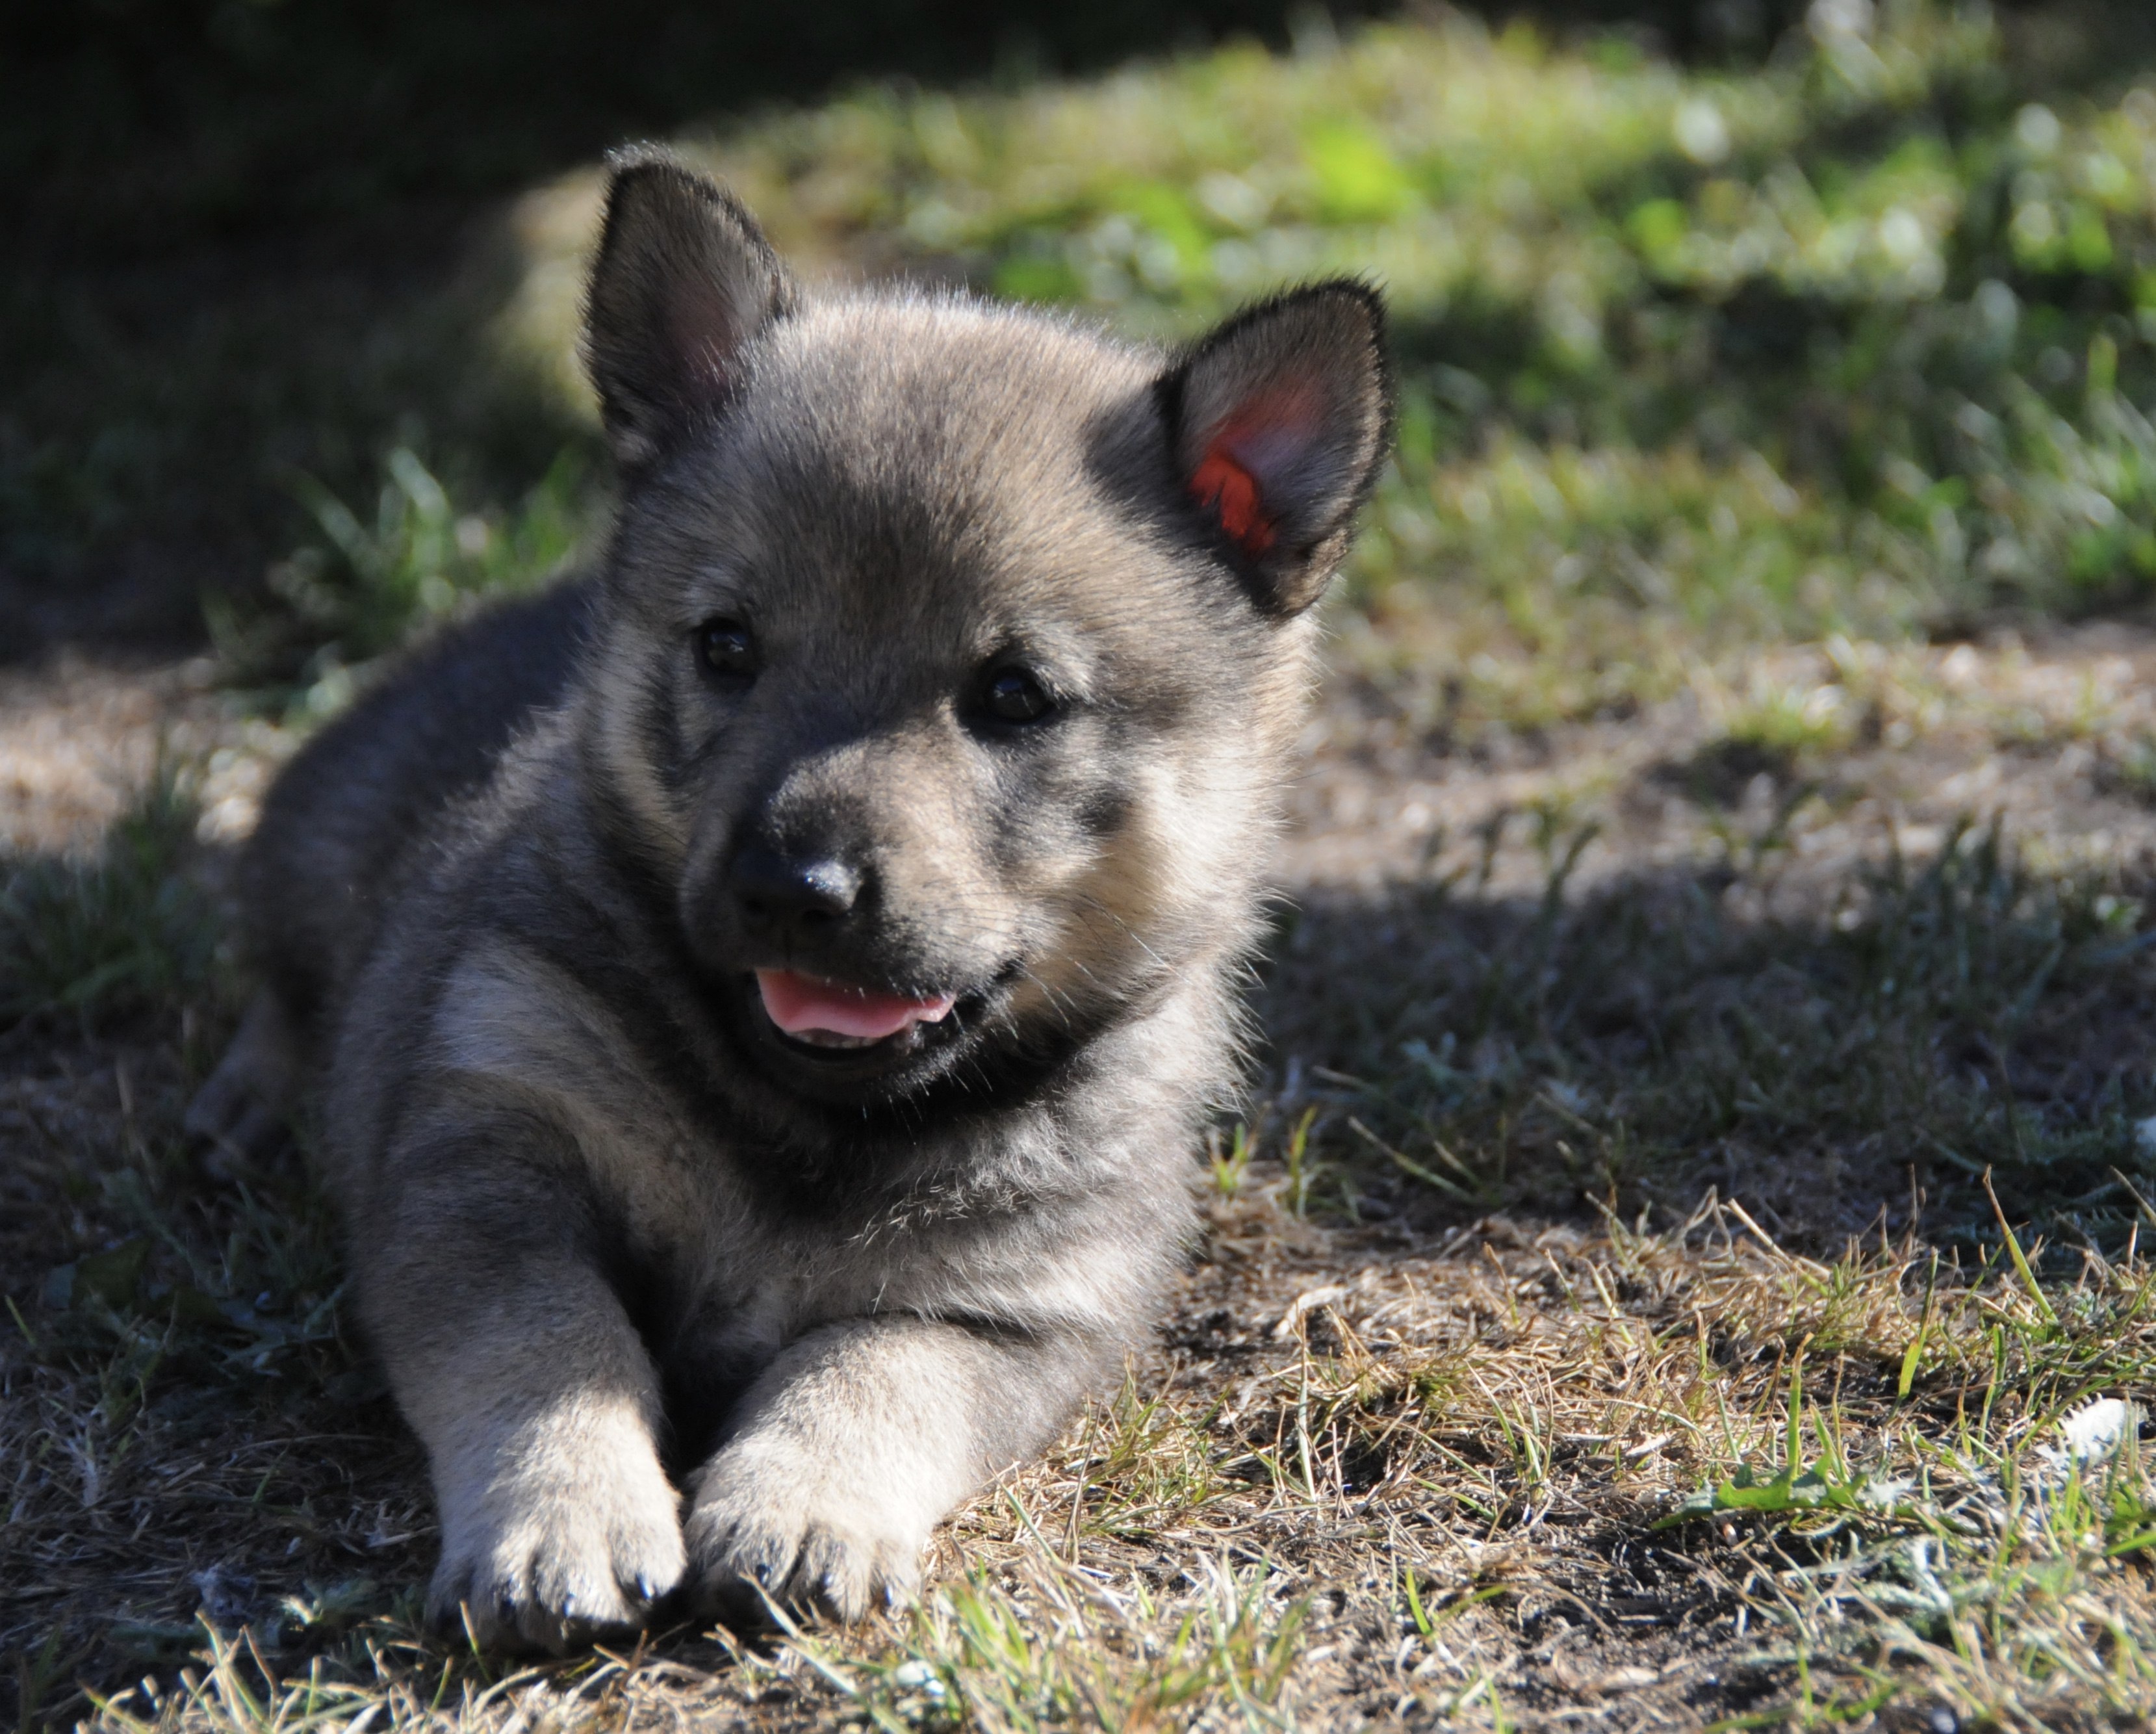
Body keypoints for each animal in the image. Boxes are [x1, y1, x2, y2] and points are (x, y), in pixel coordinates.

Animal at [194, 151, 1388, 1656]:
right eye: (727, 645)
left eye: (1013, 694)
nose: (788, 887)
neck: (814, 1134)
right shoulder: (487, 1159)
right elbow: (548, 1346)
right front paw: (562, 1515)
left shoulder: (1020, 1303)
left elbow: (867, 1366)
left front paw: (802, 1506)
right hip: (317, 849)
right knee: (285, 982)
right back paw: (249, 1099)